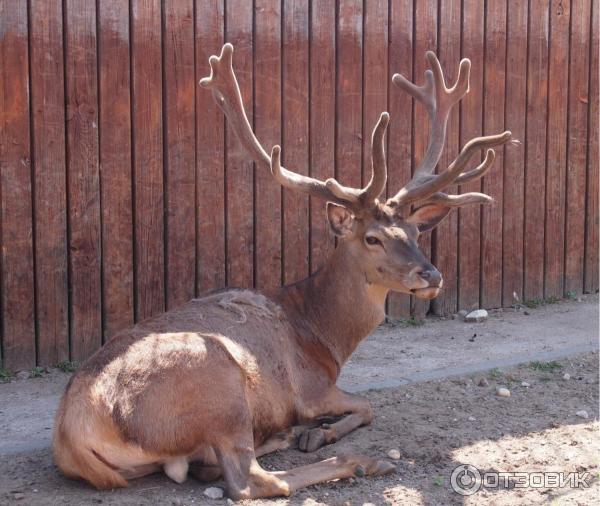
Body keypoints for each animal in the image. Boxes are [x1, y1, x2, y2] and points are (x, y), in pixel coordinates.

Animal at [52, 44, 510, 502]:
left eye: (415, 232)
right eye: (373, 238)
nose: (431, 275)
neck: (321, 334)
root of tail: (76, 436)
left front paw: (311, 432)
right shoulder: (311, 390)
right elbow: (367, 405)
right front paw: (320, 433)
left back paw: (280, 438)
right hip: (219, 385)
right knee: (250, 479)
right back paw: (357, 460)